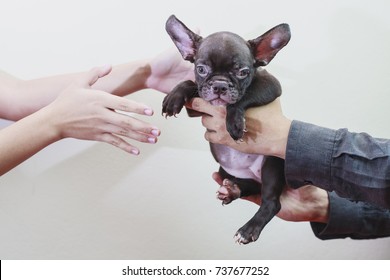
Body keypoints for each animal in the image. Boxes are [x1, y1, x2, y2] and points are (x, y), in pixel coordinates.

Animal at [161, 14, 290, 244]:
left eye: (243, 72)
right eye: (201, 69)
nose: (220, 85)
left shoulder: (270, 85)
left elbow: (243, 96)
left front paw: (235, 122)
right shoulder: (198, 106)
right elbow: (190, 84)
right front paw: (174, 97)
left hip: (273, 163)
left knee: (271, 202)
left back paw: (248, 230)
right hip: (226, 171)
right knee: (251, 187)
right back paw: (232, 191)